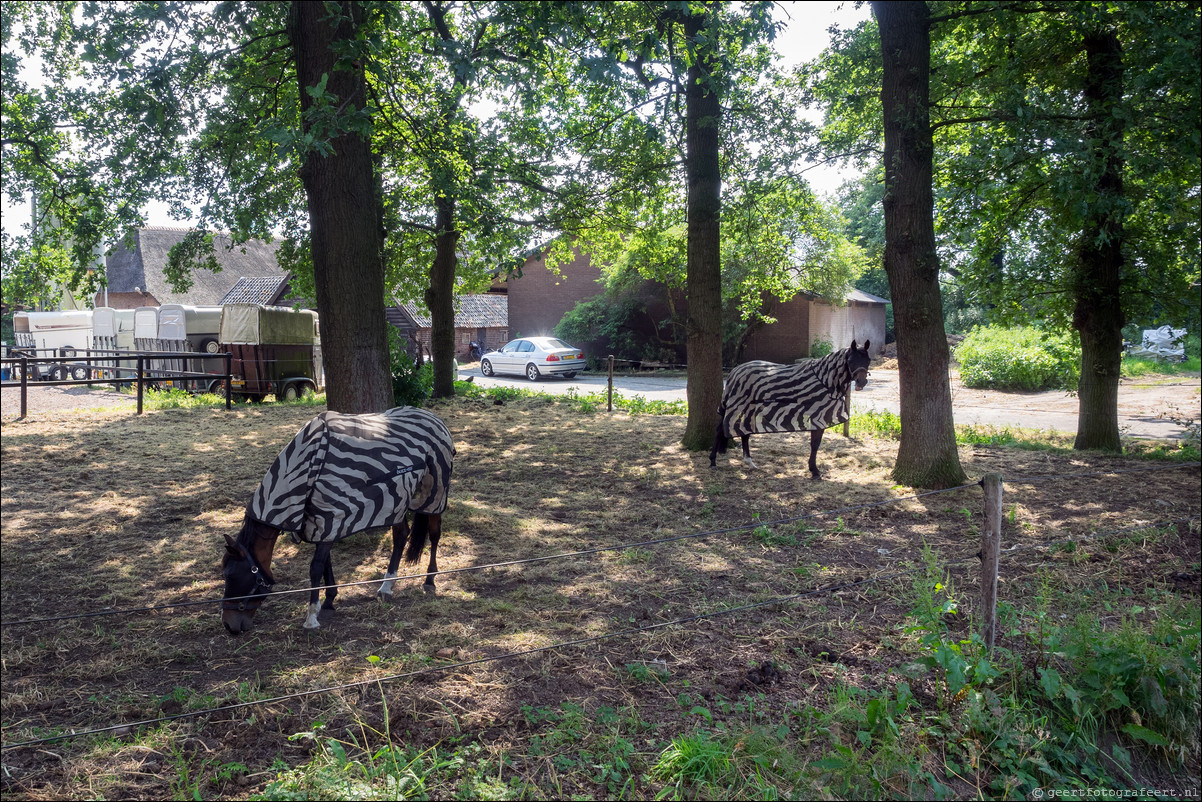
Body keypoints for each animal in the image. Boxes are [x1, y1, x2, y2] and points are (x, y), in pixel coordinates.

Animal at [219, 408, 451, 634]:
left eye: (231, 576)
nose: (228, 625)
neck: (308, 465)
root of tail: (435, 419)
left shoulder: (331, 515)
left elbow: (316, 567)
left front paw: (312, 617)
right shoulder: (320, 521)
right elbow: (325, 564)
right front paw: (329, 600)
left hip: (434, 493)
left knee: (434, 534)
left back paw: (430, 579)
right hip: (396, 499)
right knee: (401, 536)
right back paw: (387, 585)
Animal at [706, 341, 870, 480]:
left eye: (868, 361)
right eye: (851, 361)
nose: (861, 383)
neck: (825, 381)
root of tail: (735, 371)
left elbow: (815, 444)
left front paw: (813, 469)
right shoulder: (818, 417)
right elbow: (815, 444)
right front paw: (814, 471)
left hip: (749, 408)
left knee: (744, 433)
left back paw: (750, 463)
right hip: (738, 406)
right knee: (721, 430)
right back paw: (713, 461)